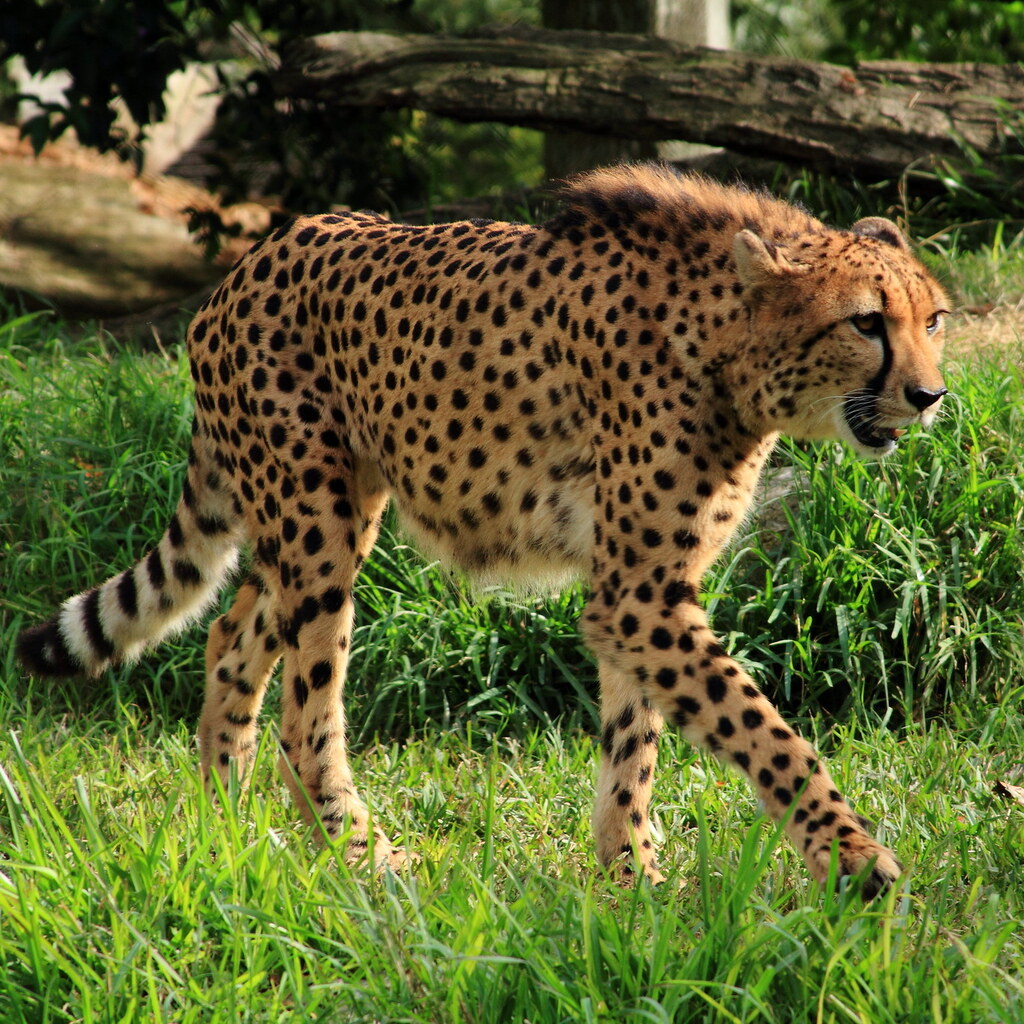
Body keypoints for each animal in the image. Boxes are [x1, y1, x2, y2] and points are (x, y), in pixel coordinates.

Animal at [18, 163, 950, 898]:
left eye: (933, 319)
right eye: (866, 322)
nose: (931, 395)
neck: (726, 341)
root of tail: (260, 256)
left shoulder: (641, 588)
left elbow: (637, 737)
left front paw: (630, 873)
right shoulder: (639, 592)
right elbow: (759, 729)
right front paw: (852, 858)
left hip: (323, 513)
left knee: (231, 635)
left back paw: (222, 821)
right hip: (318, 527)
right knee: (305, 709)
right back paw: (360, 853)